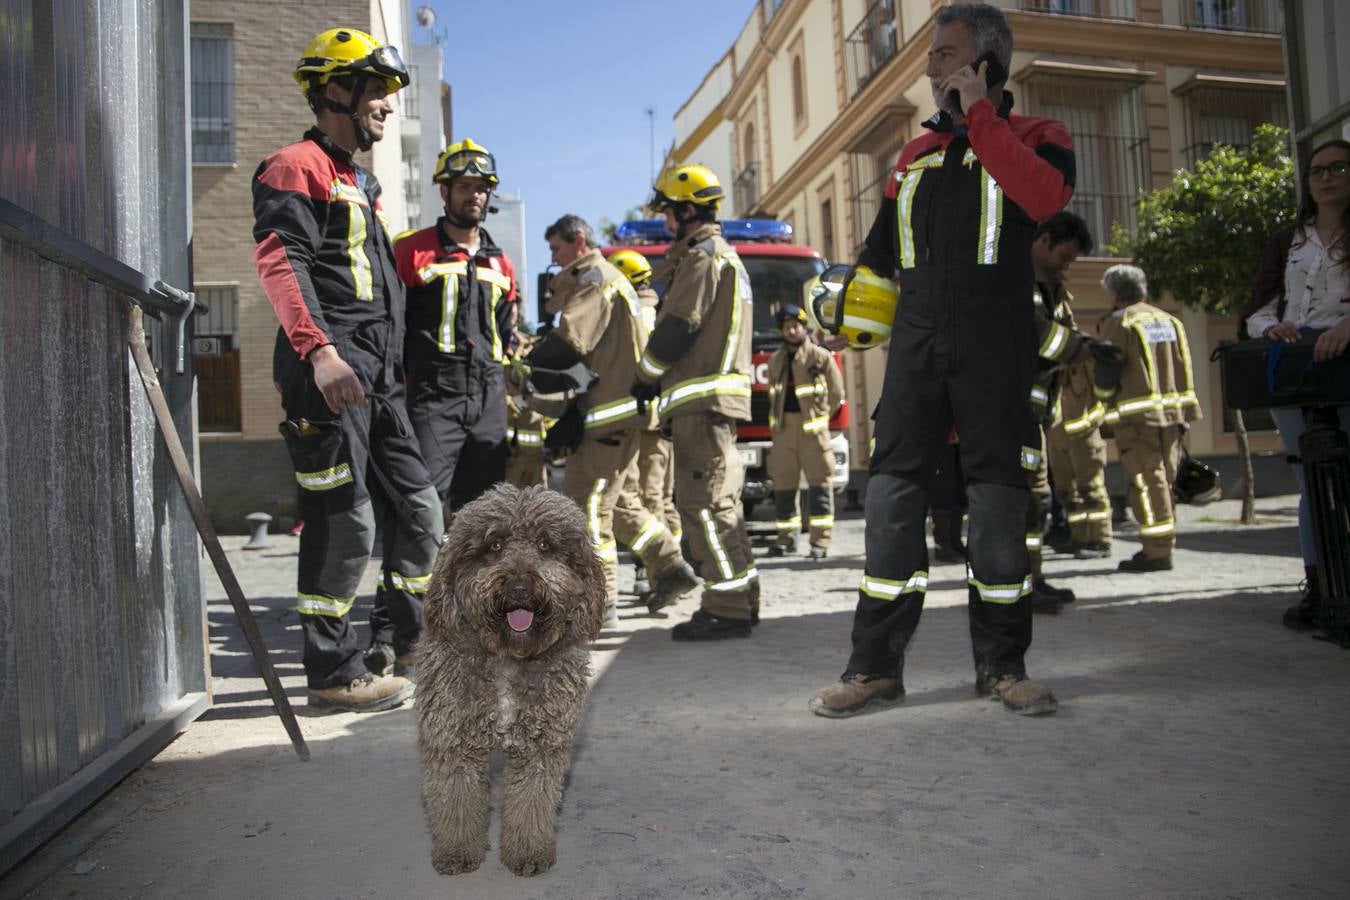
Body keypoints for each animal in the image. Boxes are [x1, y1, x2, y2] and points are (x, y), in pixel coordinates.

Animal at [410, 485, 602, 879]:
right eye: (494, 545)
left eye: (545, 545)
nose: (518, 587)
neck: (507, 659)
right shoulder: (453, 740)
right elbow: (456, 800)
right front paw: (457, 851)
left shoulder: (540, 744)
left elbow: (530, 803)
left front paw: (528, 851)